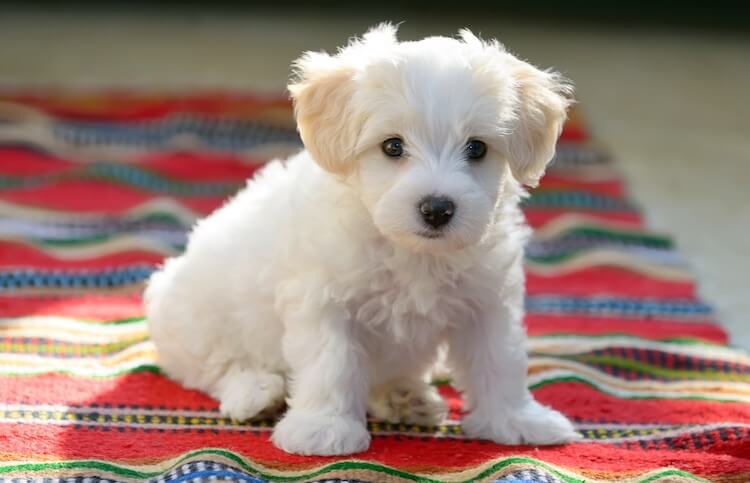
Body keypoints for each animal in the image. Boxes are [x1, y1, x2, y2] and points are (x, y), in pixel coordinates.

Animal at [147, 24, 580, 458]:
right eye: (392, 146)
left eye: (477, 148)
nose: (437, 209)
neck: (412, 251)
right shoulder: (324, 300)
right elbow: (331, 363)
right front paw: (323, 429)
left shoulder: (487, 301)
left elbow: (500, 360)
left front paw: (517, 420)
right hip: (194, 317)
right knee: (215, 367)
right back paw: (256, 392)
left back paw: (403, 397)